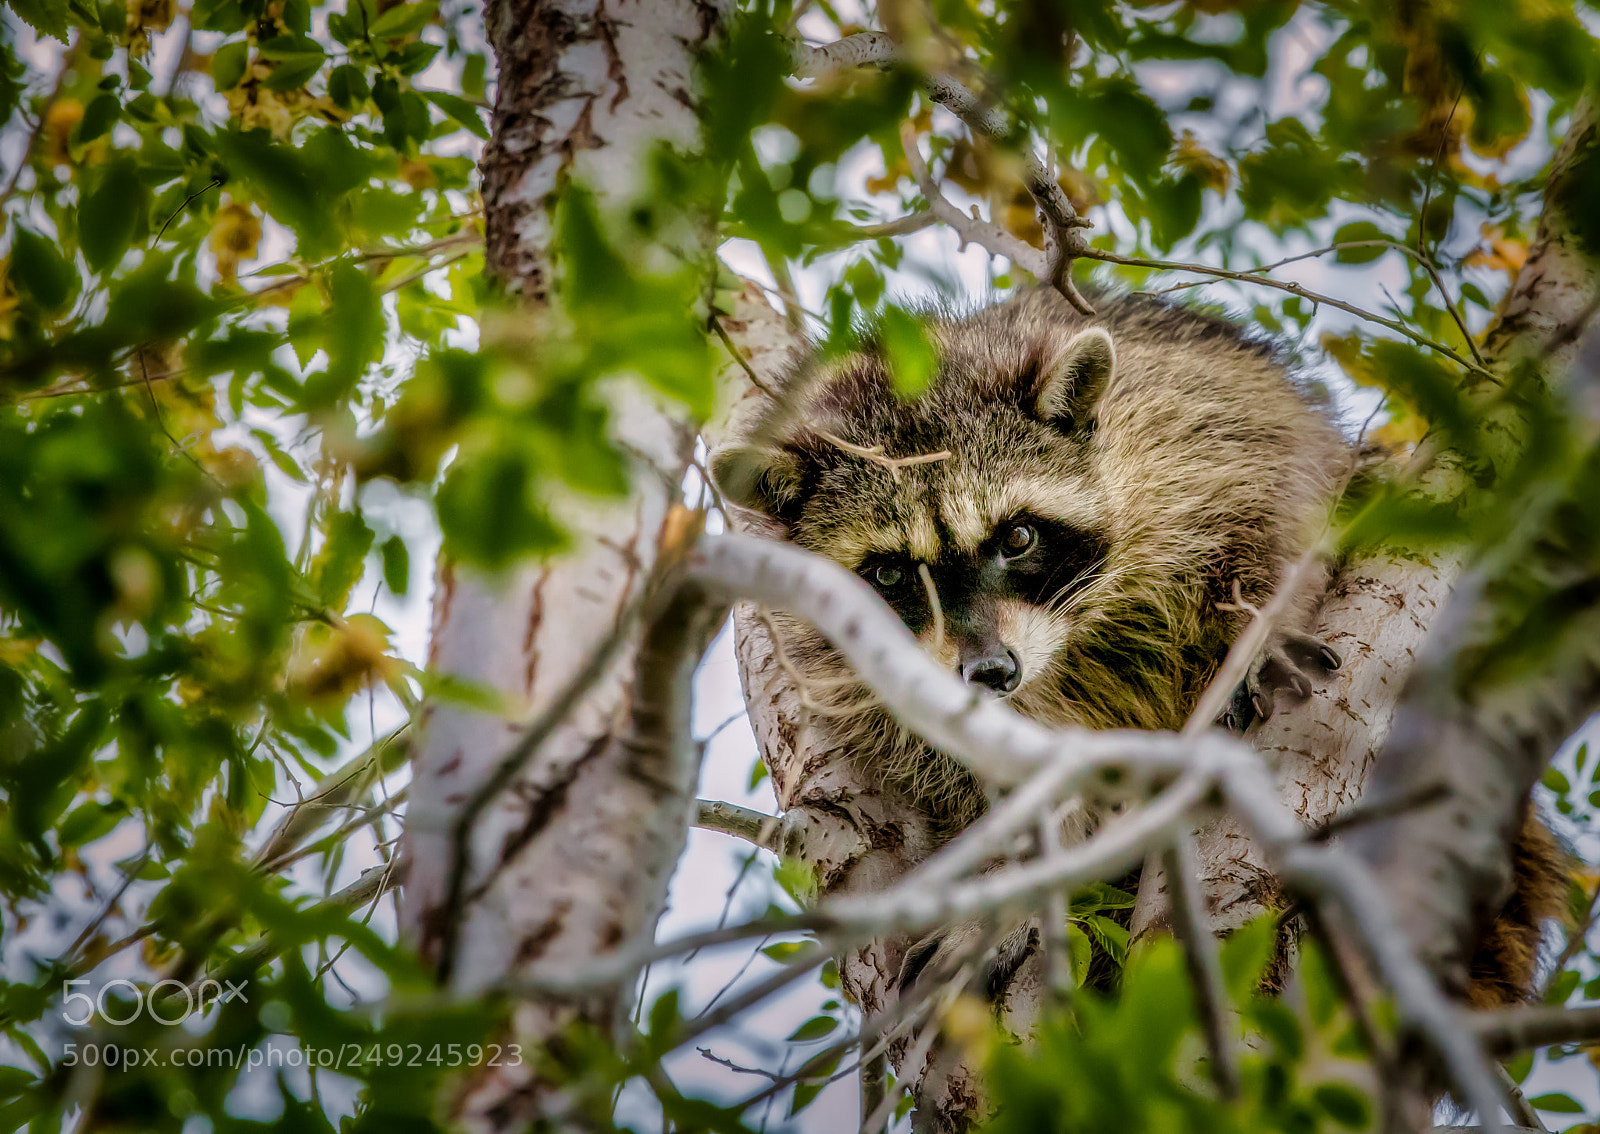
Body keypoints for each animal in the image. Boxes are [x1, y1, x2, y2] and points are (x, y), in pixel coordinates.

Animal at [713, 286, 1563, 1004]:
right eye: (890, 573)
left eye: (1017, 537)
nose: (990, 672)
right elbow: (979, 770)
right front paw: (1021, 874)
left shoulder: (1189, 423)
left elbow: (1277, 508)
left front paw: (1259, 624)